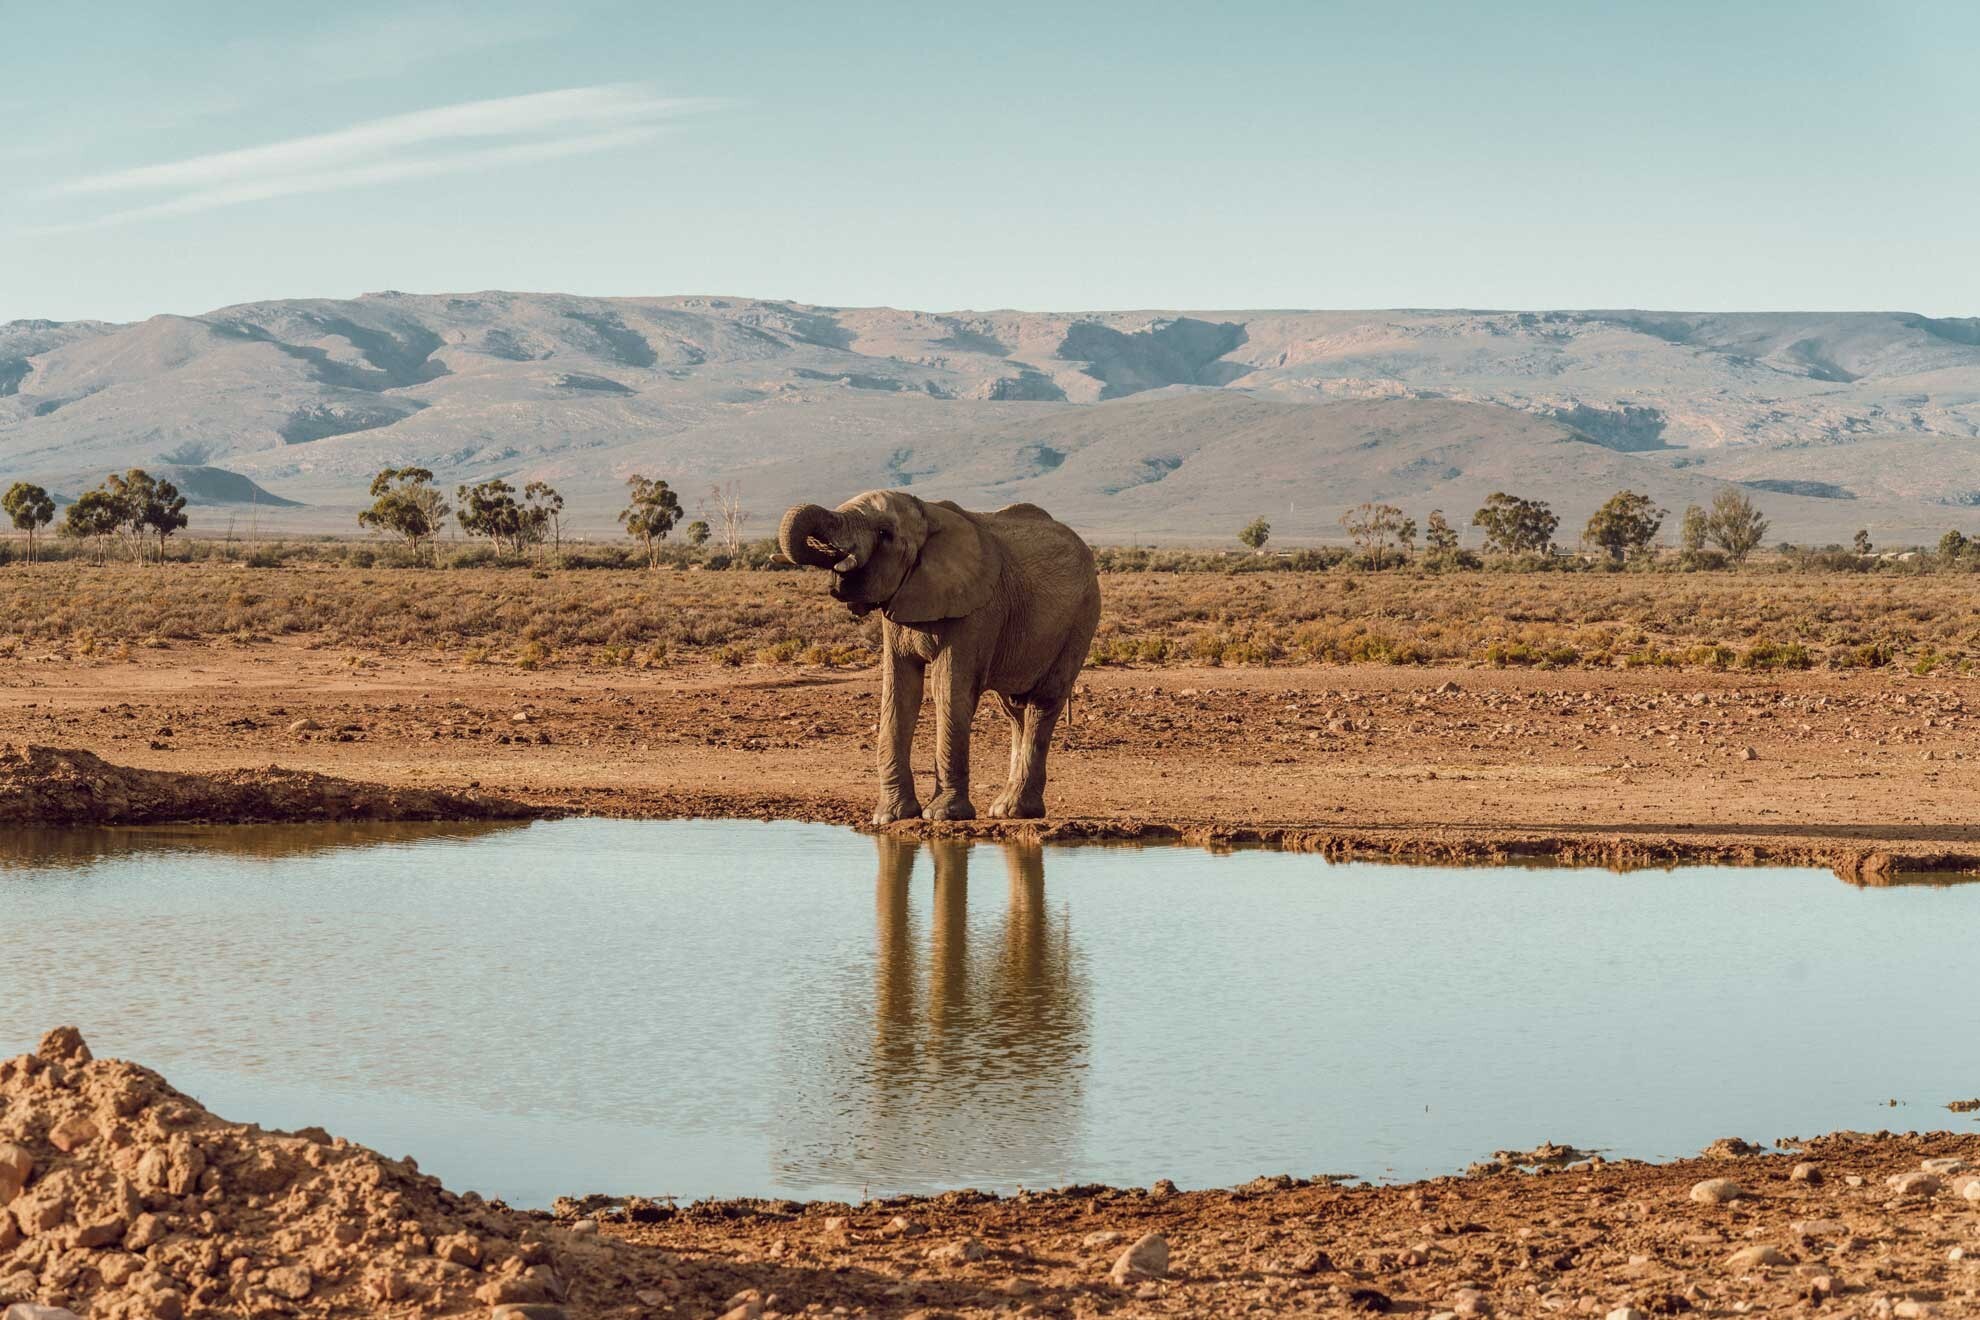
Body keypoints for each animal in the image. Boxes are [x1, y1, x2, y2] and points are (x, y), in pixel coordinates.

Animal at [777, 490, 1100, 823]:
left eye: (884, 534)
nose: (840, 566)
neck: (928, 516)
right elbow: (898, 691)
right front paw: (890, 817)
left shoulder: (976, 610)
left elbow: (948, 689)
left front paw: (943, 815)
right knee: (1015, 711)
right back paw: (1004, 810)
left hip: (1081, 619)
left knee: (1042, 702)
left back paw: (1017, 810)